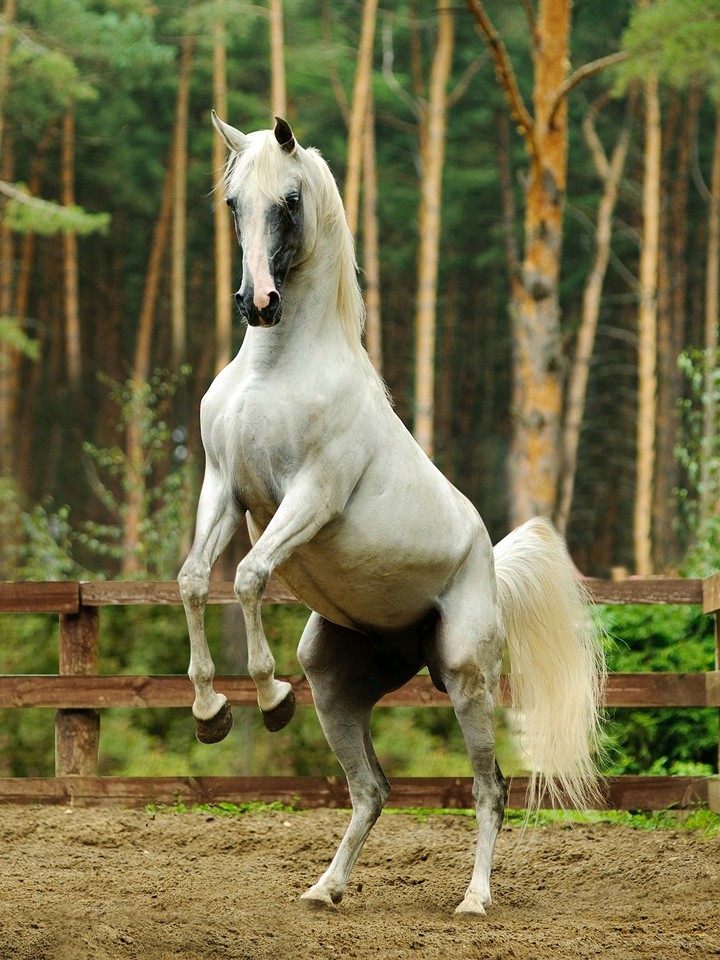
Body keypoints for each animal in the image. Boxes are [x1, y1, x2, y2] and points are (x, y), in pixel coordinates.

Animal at [178, 114, 605, 916]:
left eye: (288, 201)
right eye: (232, 202)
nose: (259, 303)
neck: (276, 370)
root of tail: (490, 562)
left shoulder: (310, 496)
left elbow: (247, 577)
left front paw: (268, 698)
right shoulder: (223, 487)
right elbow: (193, 582)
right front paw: (211, 713)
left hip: (466, 675)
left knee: (490, 789)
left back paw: (474, 899)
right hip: (337, 679)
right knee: (372, 788)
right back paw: (325, 889)